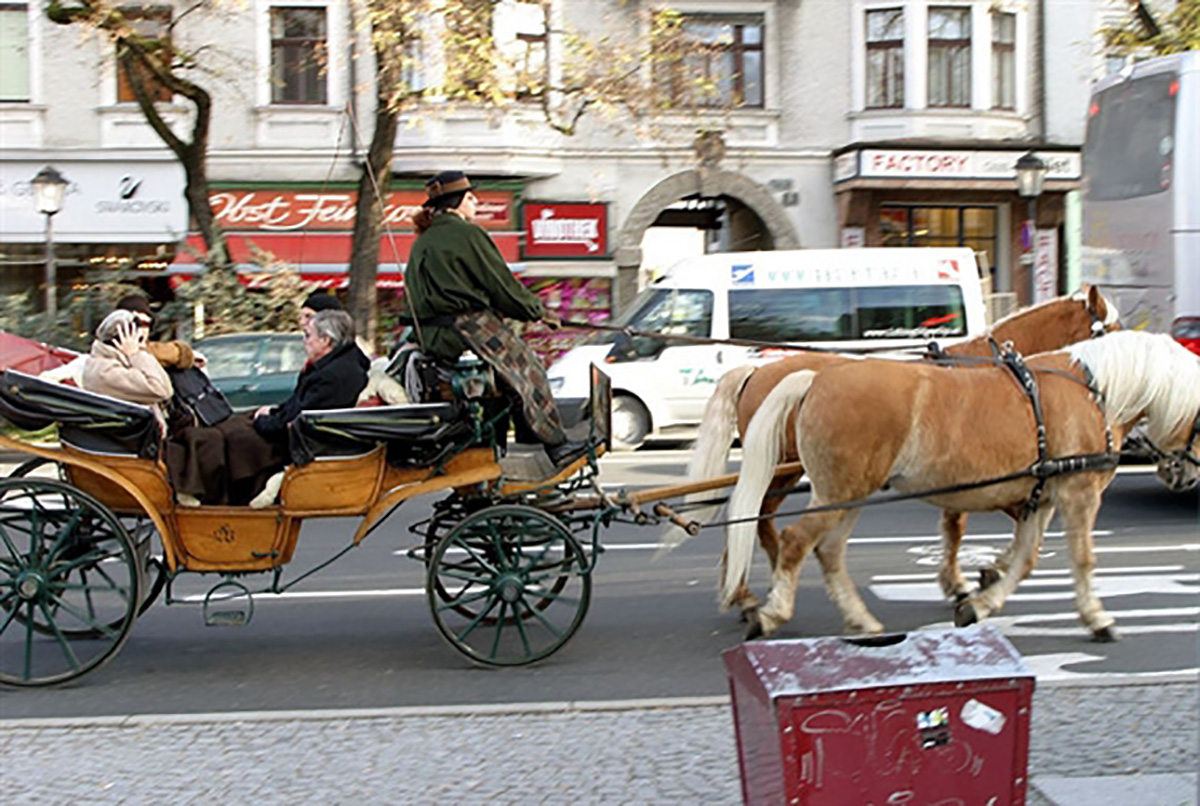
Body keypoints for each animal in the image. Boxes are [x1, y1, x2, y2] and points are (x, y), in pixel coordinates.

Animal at [662, 286, 1118, 614]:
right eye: (1109, 330)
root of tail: (755, 370)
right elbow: (978, 522)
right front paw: (982, 573)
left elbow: (960, 525)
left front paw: (976, 574)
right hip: (784, 469)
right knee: (758, 516)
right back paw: (756, 584)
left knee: (753, 515)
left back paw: (748, 586)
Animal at [715, 328, 1195, 642]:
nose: (1186, 474)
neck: (1093, 393)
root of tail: (815, 378)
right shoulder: (1079, 494)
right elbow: (1082, 559)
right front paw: (1097, 617)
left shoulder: (1040, 497)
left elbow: (1025, 558)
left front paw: (978, 601)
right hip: (836, 490)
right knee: (794, 540)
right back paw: (770, 610)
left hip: (848, 491)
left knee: (826, 550)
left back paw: (859, 620)